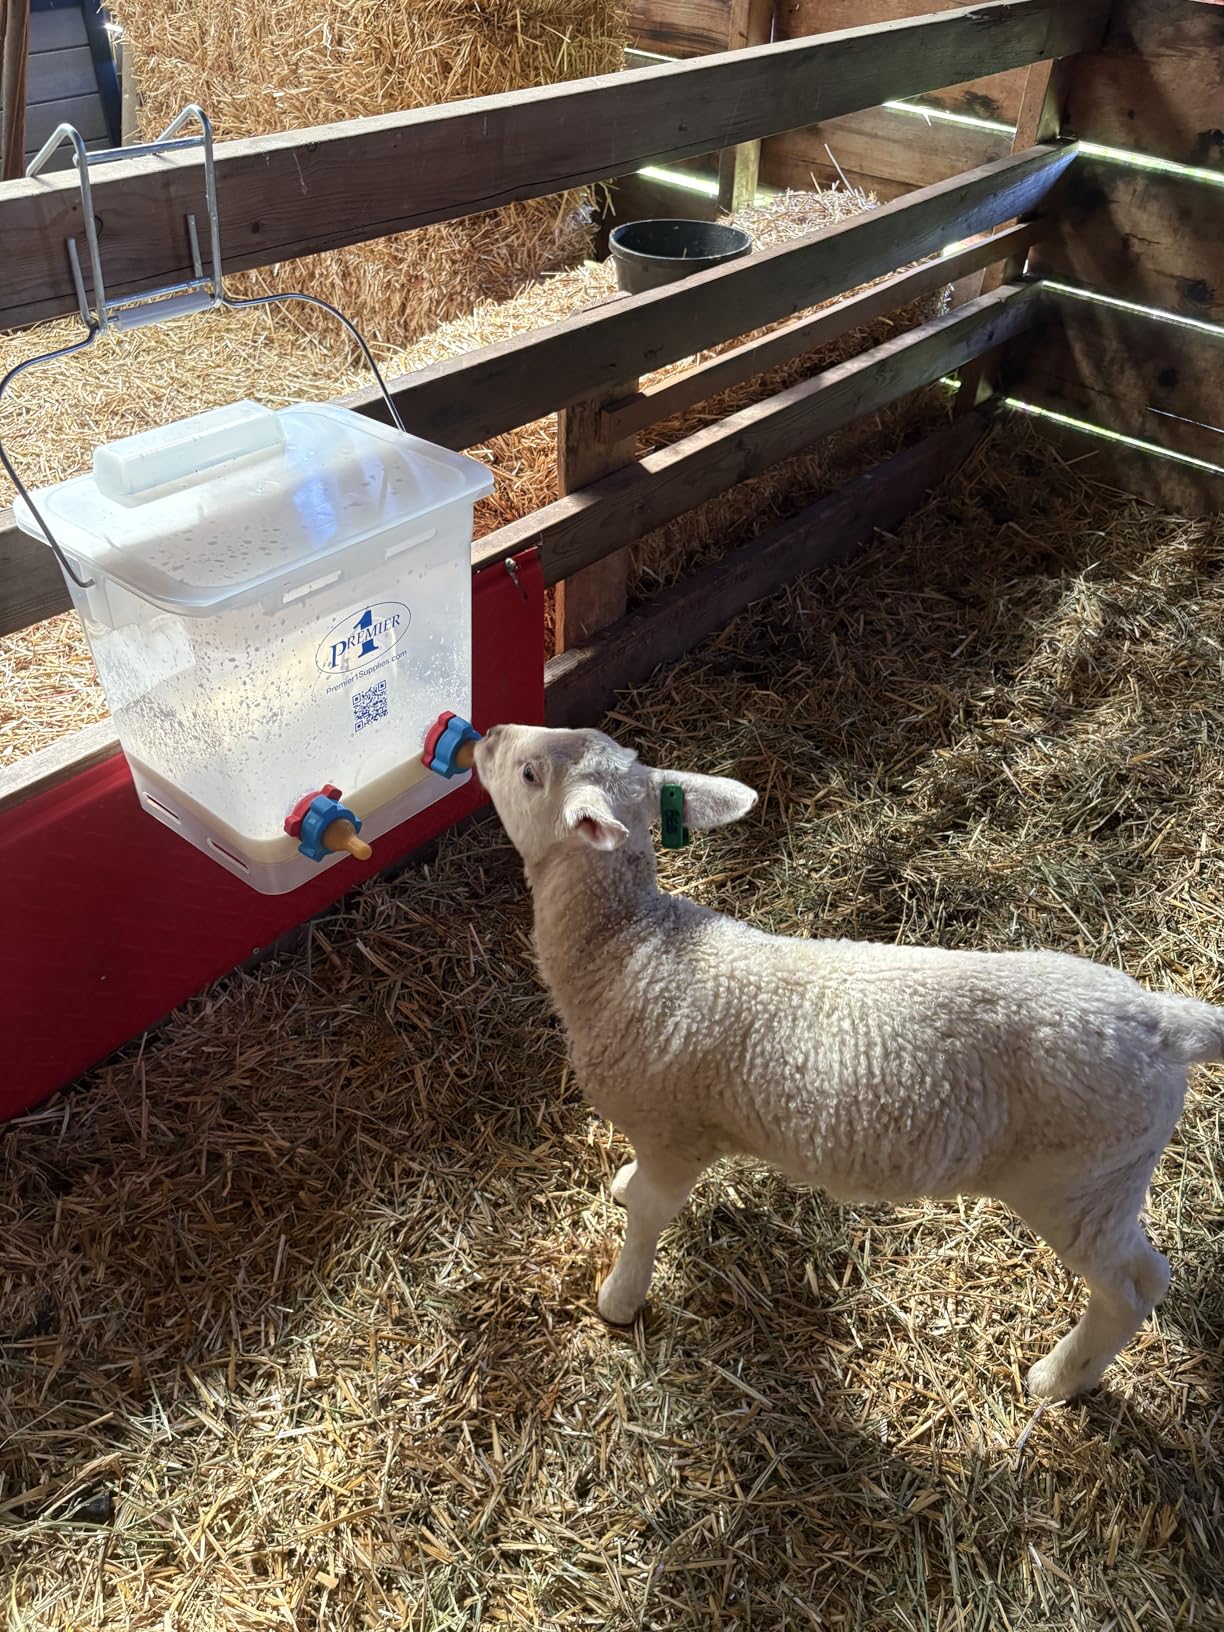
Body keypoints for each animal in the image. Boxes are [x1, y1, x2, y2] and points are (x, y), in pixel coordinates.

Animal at [472, 722, 1220, 1400]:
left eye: (530, 773)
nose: (487, 736)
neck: (626, 947)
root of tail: (1158, 1021)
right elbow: (640, 1189)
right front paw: (622, 1184)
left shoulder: (673, 1132)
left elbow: (650, 1217)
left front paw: (619, 1299)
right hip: (1104, 1182)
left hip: (1080, 1183)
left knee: (1135, 1285)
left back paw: (1057, 1379)